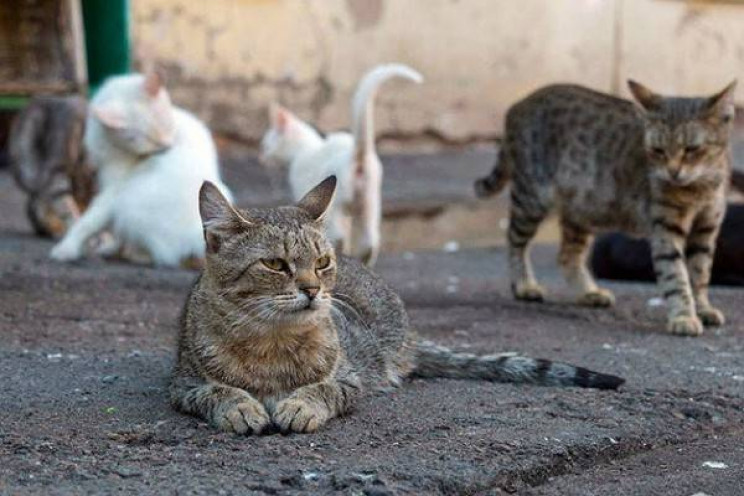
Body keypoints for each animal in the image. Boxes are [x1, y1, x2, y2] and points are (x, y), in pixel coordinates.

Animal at [49, 70, 232, 268]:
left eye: (166, 126)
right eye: (146, 141)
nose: (167, 147)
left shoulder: (114, 191)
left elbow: (89, 222)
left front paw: (66, 249)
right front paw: (109, 247)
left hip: (131, 205)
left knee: (163, 255)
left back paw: (137, 255)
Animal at [170, 175, 620, 434]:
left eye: (322, 262)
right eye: (275, 265)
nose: (313, 290)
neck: (273, 343)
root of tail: (408, 337)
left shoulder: (350, 380)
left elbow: (324, 388)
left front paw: (299, 403)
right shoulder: (182, 385)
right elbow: (216, 391)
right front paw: (240, 406)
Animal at [260, 65, 424, 268]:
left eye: (265, 146)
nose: (261, 157)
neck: (304, 148)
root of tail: (356, 153)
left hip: (339, 205)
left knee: (339, 236)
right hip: (370, 202)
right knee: (370, 240)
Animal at [474, 82, 736, 338]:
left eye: (691, 149)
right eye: (658, 150)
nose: (672, 172)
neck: (700, 188)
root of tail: (519, 104)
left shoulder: (706, 229)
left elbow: (700, 273)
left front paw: (702, 309)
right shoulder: (666, 229)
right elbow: (676, 276)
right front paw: (683, 316)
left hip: (581, 210)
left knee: (567, 255)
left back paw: (588, 292)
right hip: (532, 198)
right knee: (514, 242)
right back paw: (523, 285)